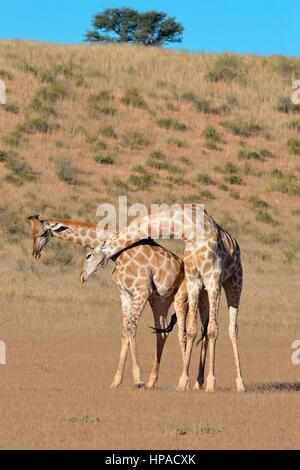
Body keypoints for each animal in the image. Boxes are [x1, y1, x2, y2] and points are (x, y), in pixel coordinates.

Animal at [27, 215, 186, 388]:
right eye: (32, 233)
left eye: (43, 233)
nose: (35, 253)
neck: (120, 251)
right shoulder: (125, 292)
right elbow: (125, 330)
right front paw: (116, 381)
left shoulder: (142, 291)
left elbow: (131, 327)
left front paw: (138, 380)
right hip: (160, 301)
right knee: (162, 332)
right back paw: (152, 382)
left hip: (182, 298)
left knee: (187, 332)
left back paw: (185, 383)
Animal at [97, 206, 245, 392]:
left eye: (101, 246)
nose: (98, 262)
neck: (190, 231)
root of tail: (236, 244)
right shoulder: (194, 281)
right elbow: (192, 330)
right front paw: (183, 382)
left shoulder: (213, 280)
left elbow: (213, 330)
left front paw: (211, 383)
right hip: (204, 293)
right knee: (204, 329)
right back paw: (198, 383)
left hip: (234, 281)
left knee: (232, 328)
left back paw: (240, 383)